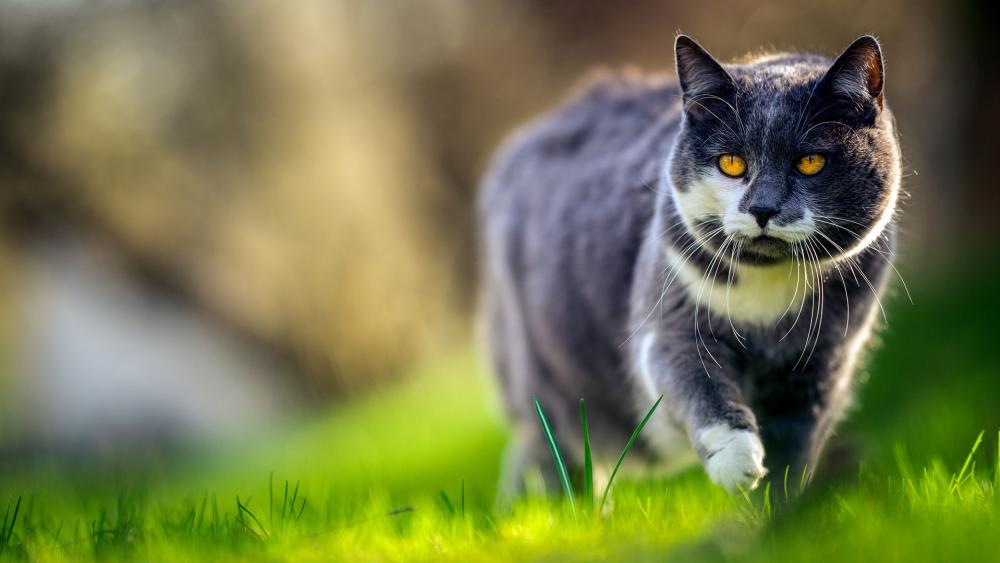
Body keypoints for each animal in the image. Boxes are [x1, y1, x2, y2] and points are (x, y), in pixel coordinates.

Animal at [474, 34, 900, 494]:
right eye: (731, 162)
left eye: (810, 162)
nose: (762, 208)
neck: (766, 305)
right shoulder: (670, 325)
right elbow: (700, 385)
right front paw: (737, 462)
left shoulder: (822, 365)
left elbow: (793, 455)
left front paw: (775, 508)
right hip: (545, 375)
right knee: (548, 451)